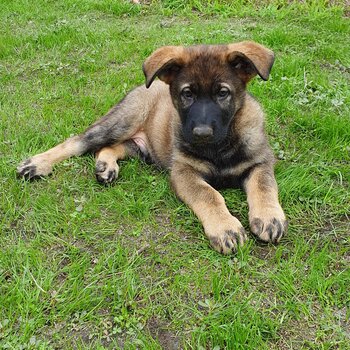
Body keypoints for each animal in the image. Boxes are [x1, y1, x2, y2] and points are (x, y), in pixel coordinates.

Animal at [17, 41, 288, 254]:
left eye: (223, 93)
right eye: (187, 94)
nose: (201, 134)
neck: (219, 148)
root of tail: (142, 87)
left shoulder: (260, 162)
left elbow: (264, 186)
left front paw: (268, 216)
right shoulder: (183, 173)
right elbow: (209, 195)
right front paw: (225, 227)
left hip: (140, 147)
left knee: (109, 148)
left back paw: (106, 166)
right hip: (121, 122)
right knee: (79, 141)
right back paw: (37, 164)